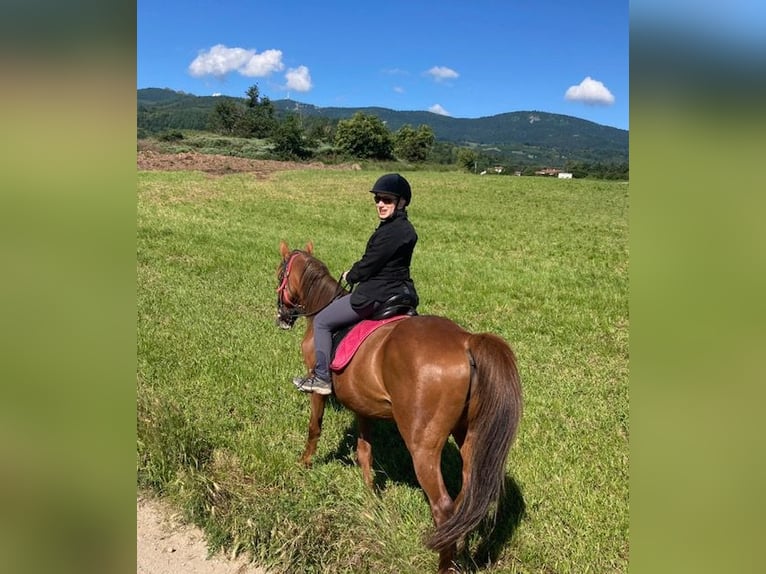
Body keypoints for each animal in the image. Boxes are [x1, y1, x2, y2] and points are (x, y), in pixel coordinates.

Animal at [274, 241, 520, 572]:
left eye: (280, 275)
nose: (282, 316)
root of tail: (466, 341)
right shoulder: (362, 405)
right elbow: (364, 450)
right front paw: (370, 496)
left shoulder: (318, 392)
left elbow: (315, 428)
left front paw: (304, 464)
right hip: (469, 436)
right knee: (466, 498)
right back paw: (457, 548)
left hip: (422, 446)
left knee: (443, 506)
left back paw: (444, 563)